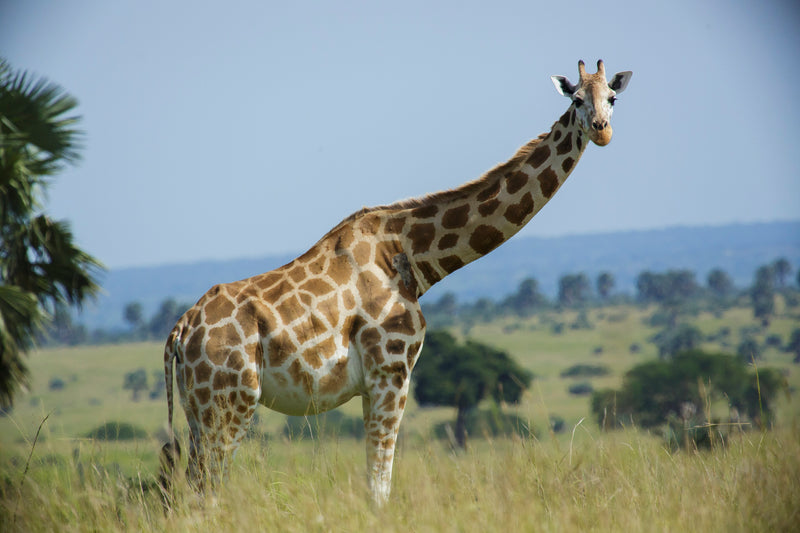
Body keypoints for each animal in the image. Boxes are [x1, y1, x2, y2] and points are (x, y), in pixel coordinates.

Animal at [160, 59, 632, 505]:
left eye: (612, 97)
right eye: (576, 100)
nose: (602, 131)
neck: (413, 257)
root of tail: (179, 333)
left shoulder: (375, 382)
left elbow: (376, 481)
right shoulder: (391, 370)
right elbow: (379, 485)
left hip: (199, 410)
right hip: (230, 402)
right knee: (206, 491)